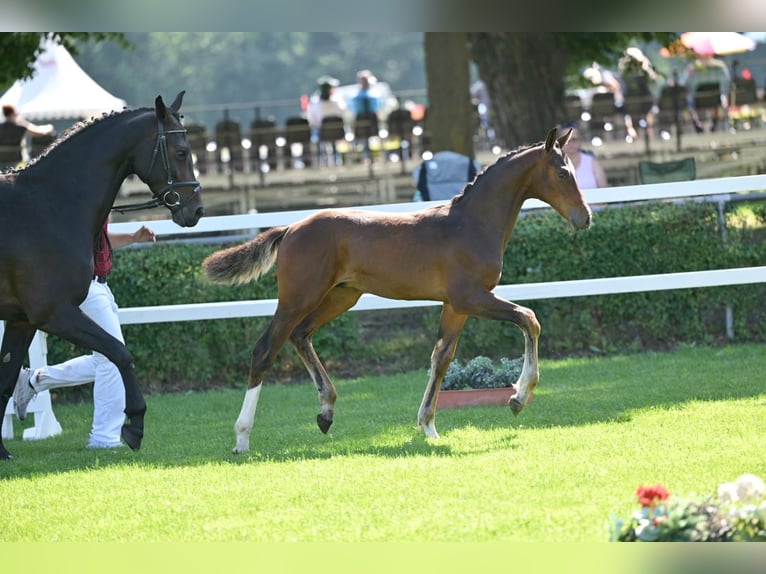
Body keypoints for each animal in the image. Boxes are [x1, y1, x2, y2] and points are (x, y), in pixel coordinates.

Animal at [0, 91, 204, 460]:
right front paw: (134, 425)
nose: (196, 210)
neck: (47, 206)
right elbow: (119, 351)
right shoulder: (55, 313)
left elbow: (5, 379)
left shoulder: (22, 321)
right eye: (181, 151)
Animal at [203, 128, 590, 454]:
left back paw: (326, 412)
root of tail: (290, 228)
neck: (470, 225)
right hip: (298, 298)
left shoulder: (455, 306)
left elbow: (441, 357)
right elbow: (529, 318)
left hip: (341, 296)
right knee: (265, 349)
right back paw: (242, 438)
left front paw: (429, 427)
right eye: (562, 173)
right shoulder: (471, 297)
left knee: (300, 335)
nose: (584, 218)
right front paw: (518, 397)